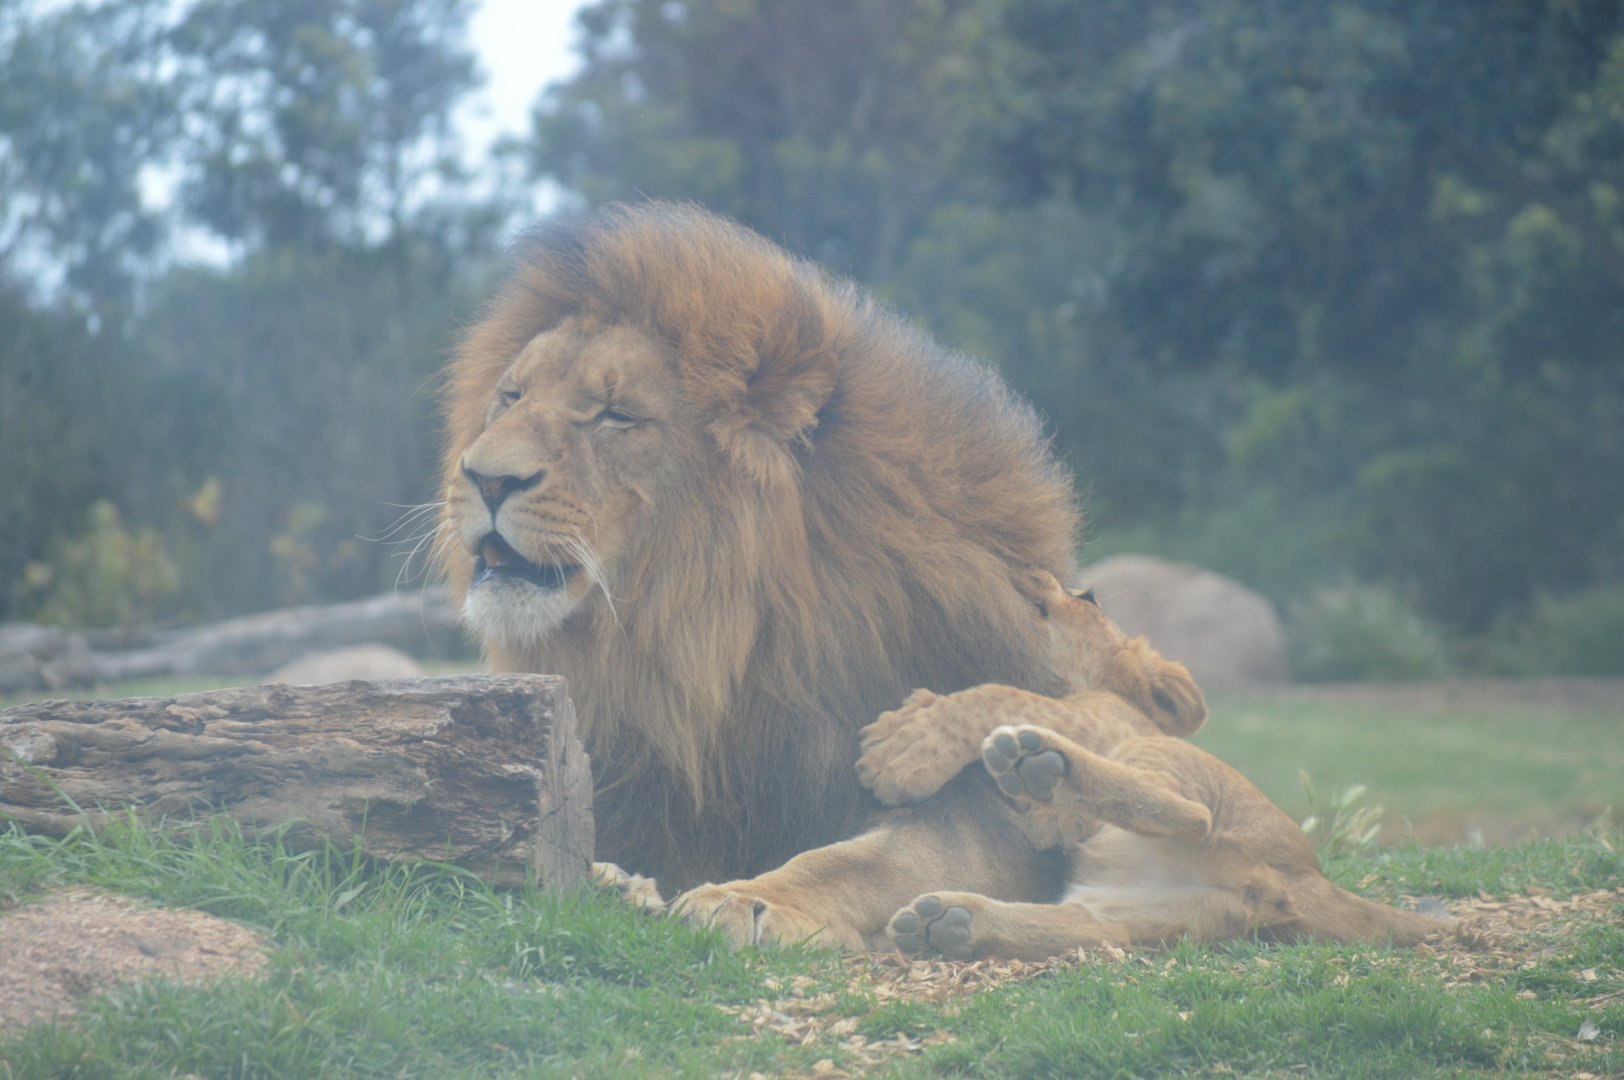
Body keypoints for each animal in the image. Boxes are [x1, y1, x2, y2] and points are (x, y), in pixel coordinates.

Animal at [438, 202, 1081, 899]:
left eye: (616, 416)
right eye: (512, 396)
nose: (485, 478)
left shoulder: (998, 809)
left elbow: (873, 859)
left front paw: (745, 899)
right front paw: (617, 882)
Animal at [859, 570, 1450, 961]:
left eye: (1088, 596)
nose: (1036, 570)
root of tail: (1311, 881)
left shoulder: (1090, 718)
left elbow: (996, 693)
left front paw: (900, 750)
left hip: (1177, 772)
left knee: (1189, 813)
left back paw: (1036, 764)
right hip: (1142, 908)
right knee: (1098, 930)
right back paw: (947, 924)